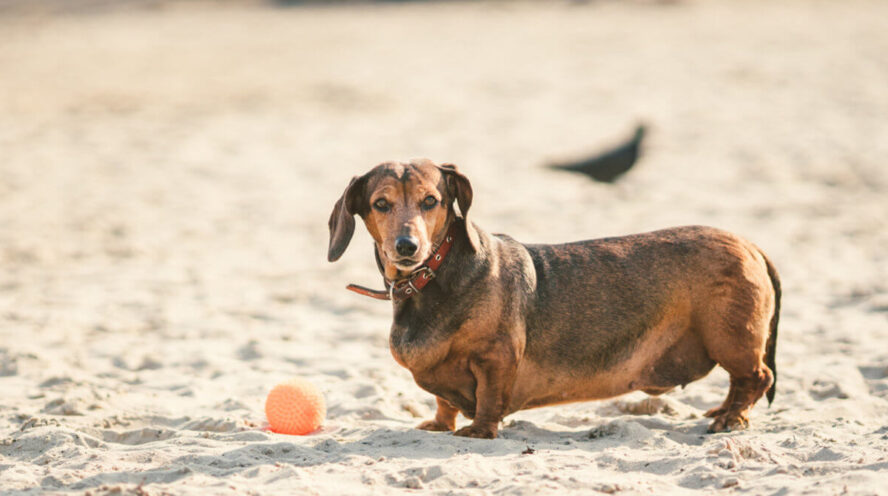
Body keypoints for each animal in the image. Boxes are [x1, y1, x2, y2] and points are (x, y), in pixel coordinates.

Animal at [326, 159, 776, 438]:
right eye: (380, 204)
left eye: (431, 201)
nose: (407, 247)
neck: (433, 275)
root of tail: (751, 245)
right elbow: (442, 402)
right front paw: (439, 424)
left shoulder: (496, 357)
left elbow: (488, 397)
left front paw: (479, 431)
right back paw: (722, 411)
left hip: (730, 338)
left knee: (756, 377)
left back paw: (730, 418)